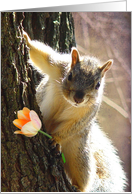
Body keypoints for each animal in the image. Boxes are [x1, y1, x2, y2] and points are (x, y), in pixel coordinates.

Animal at [23, 31, 127, 192]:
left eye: (98, 85)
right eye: (70, 75)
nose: (78, 98)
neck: (67, 101)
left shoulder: (87, 113)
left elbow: (73, 126)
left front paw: (56, 138)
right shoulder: (58, 66)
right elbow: (42, 57)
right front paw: (26, 38)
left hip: (78, 152)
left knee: (83, 174)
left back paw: (78, 186)